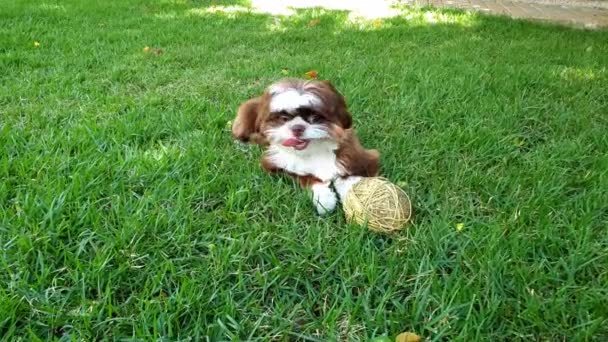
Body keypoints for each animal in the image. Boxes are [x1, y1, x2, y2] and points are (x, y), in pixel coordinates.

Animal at [230, 79, 378, 215]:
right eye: (284, 119)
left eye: (315, 117)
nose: (297, 128)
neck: (314, 151)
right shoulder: (277, 165)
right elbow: (307, 178)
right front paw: (324, 200)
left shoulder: (362, 158)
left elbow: (348, 178)